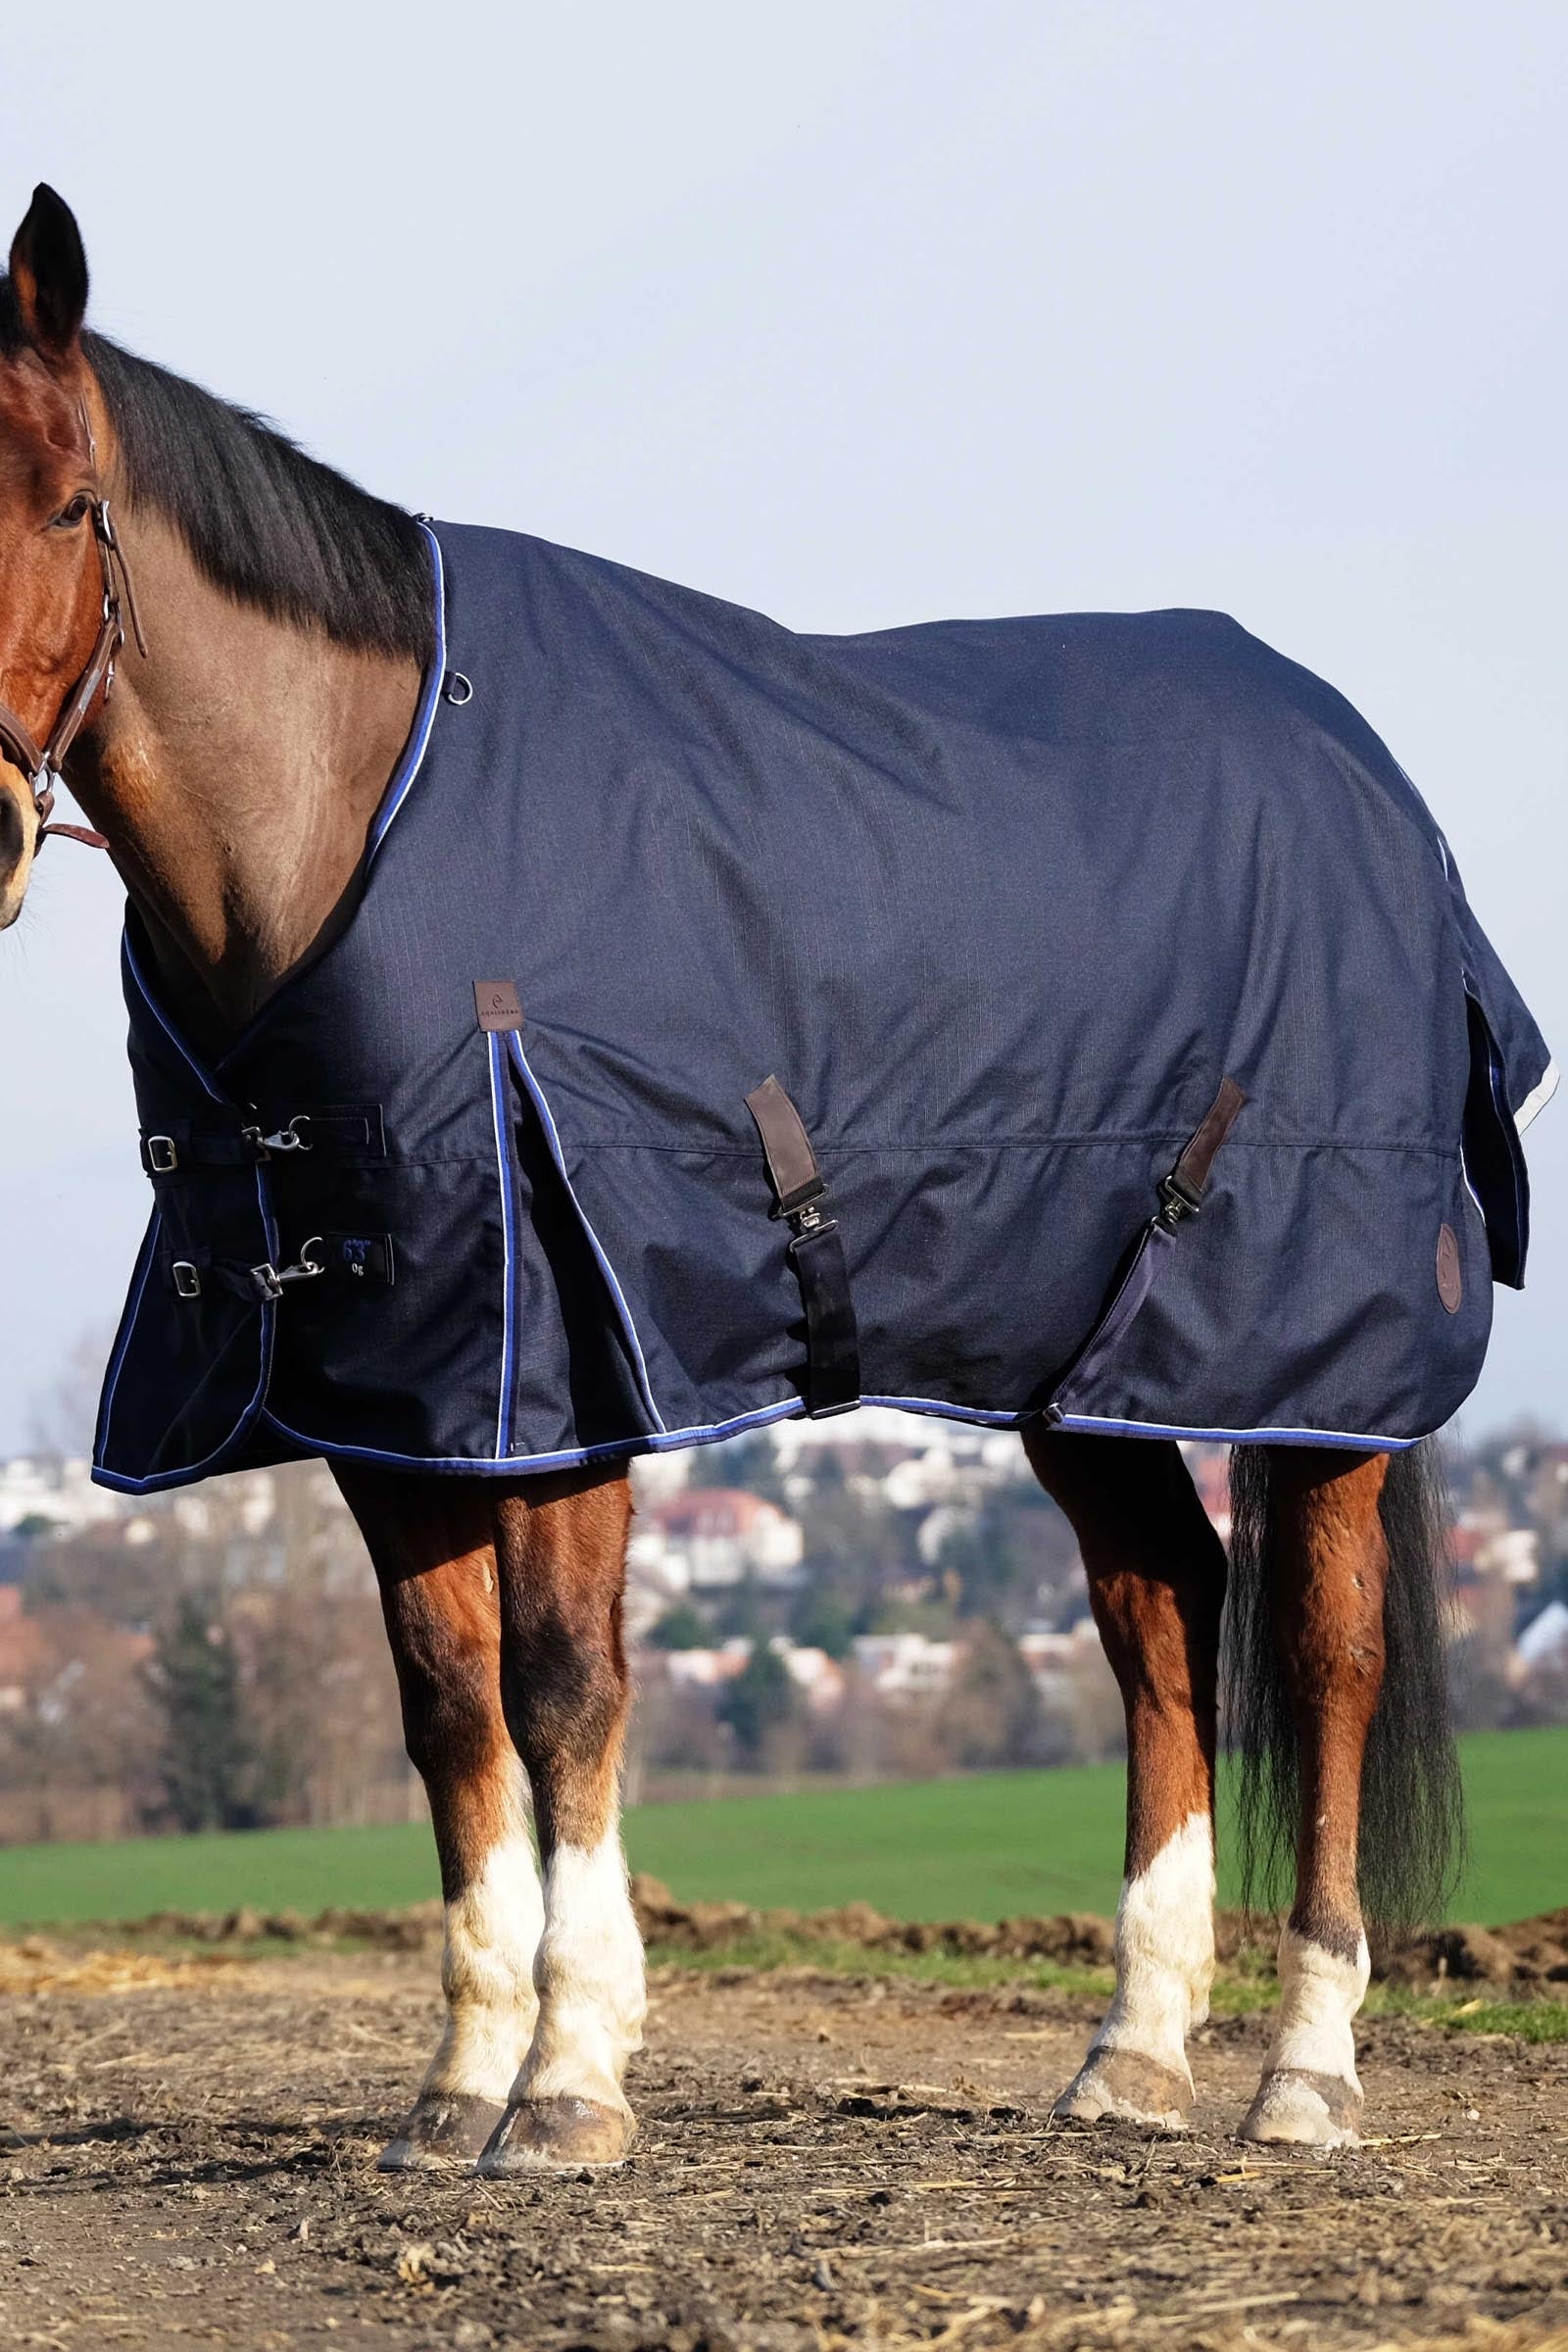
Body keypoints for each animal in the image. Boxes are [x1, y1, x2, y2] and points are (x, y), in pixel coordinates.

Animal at [0, 182, 1515, 2173]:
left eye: (51, 498)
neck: (358, 814)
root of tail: (1374, 780)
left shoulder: (565, 1361)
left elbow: (563, 1686)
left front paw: (571, 2081)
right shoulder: (393, 1391)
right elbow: (446, 1707)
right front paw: (459, 2083)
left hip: (1307, 1356)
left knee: (1324, 1657)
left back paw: (1304, 2072)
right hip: (1086, 1370)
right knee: (1164, 1621)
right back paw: (1133, 2052)